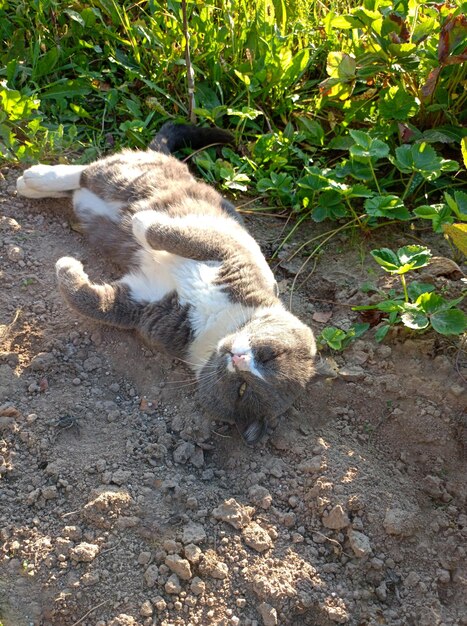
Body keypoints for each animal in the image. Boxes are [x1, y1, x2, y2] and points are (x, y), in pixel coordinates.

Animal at [17, 123, 318, 444]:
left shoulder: (146, 306)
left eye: (242, 390)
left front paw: (67, 265)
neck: (218, 320)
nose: (238, 358)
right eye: (270, 354)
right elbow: (169, 234)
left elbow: (94, 303)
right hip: (131, 176)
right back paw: (36, 177)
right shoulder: (228, 249)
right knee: (87, 170)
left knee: (82, 183)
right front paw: (140, 220)